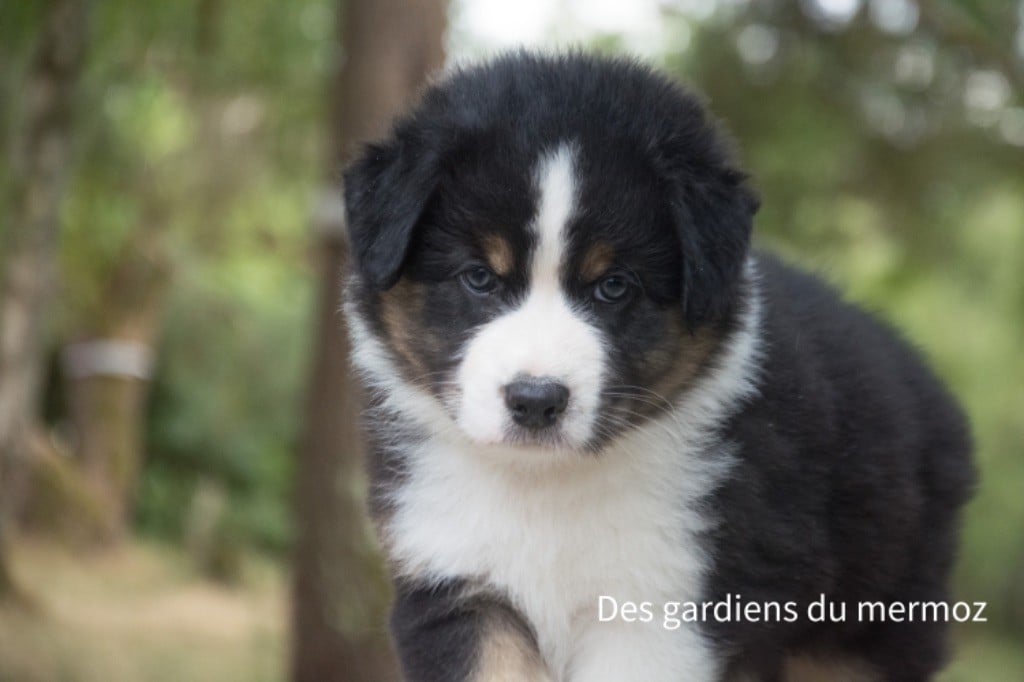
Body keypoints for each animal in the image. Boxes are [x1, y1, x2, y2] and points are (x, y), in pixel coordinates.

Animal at [337, 50, 974, 675]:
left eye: (614, 286)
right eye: (478, 277)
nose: (536, 401)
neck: (547, 484)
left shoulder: (663, 606)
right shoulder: (456, 580)